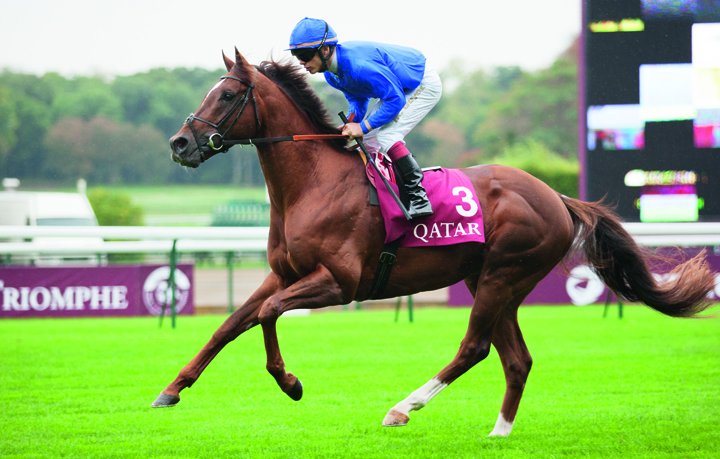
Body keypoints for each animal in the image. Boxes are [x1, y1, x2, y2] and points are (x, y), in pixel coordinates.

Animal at [154, 48, 715, 437]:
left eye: (228, 96)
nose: (179, 144)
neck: (313, 183)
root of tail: (555, 195)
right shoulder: (284, 274)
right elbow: (230, 324)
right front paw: (171, 389)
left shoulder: (339, 283)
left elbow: (269, 314)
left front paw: (290, 383)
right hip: (490, 280)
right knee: (516, 359)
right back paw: (498, 433)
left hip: (503, 275)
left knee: (474, 347)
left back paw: (403, 408)